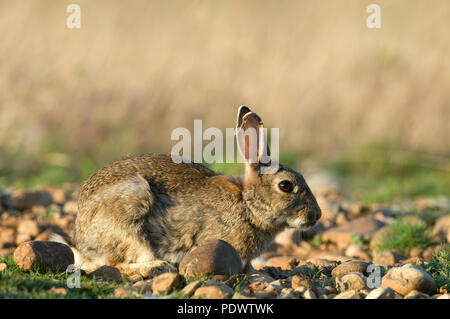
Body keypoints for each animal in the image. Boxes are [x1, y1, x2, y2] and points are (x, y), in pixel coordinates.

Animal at [66, 106, 320, 278]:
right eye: (286, 186)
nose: (316, 215)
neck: (248, 205)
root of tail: (83, 242)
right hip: (129, 217)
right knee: (113, 263)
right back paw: (158, 267)